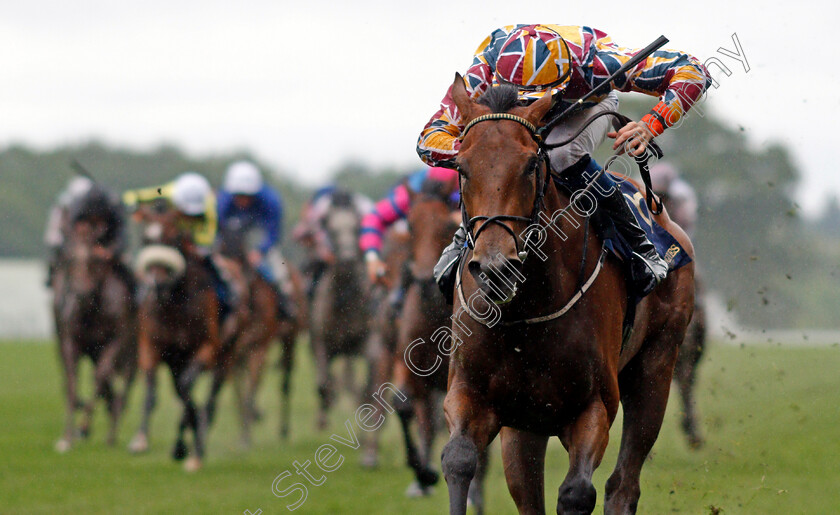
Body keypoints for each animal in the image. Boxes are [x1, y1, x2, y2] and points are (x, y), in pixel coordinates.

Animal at [51, 220, 135, 454]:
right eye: (69, 259)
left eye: (93, 260)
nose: (81, 293)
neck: (93, 309)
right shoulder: (71, 341)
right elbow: (72, 384)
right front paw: (66, 438)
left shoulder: (115, 341)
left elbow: (99, 378)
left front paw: (84, 426)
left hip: (130, 350)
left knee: (123, 384)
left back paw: (111, 432)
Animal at [440, 77, 696, 515]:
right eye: (461, 167)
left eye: (531, 164)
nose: (495, 268)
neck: (525, 310)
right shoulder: (470, 394)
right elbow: (458, 459)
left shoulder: (594, 406)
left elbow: (577, 491)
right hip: (526, 423)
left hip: (657, 365)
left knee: (623, 485)